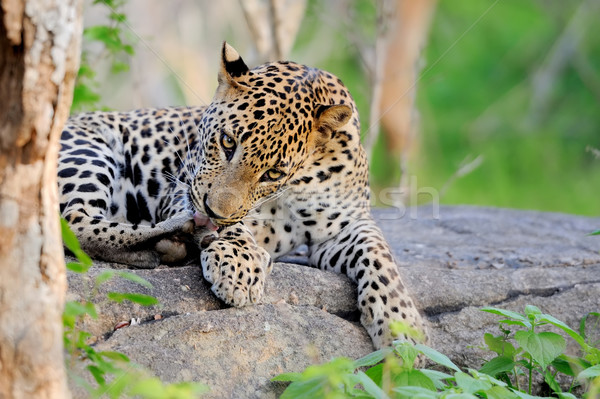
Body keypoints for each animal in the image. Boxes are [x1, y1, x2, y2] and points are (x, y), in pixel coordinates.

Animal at [58, 43, 428, 350]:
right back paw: (170, 239)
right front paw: (237, 264)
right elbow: (231, 226)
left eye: (273, 173)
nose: (212, 212)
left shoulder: (345, 225)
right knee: (74, 223)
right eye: (227, 142)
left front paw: (402, 324)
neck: (295, 184)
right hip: (87, 151)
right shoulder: (186, 187)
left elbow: (379, 255)